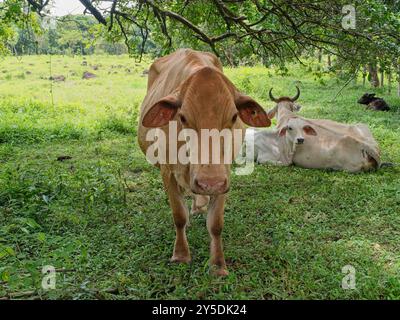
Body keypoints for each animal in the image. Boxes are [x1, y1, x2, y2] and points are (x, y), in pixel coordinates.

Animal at [136, 48, 270, 276]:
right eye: (182, 117)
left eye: (234, 117)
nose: (209, 183)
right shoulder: (167, 172)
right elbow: (178, 215)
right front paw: (181, 255)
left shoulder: (224, 176)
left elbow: (215, 224)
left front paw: (217, 265)